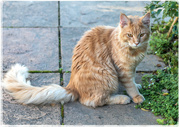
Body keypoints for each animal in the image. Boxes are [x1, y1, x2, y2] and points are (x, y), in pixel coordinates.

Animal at [2, 12, 150, 107]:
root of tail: (71, 86)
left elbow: (133, 80)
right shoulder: (123, 70)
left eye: (141, 35)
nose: (136, 42)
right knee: (95, 101)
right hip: (108, 76)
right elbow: (130, 85)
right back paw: (122, 98)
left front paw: (137, 85)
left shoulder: (133, 67)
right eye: (129, 35)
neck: (136, 51)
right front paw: (136, 96)